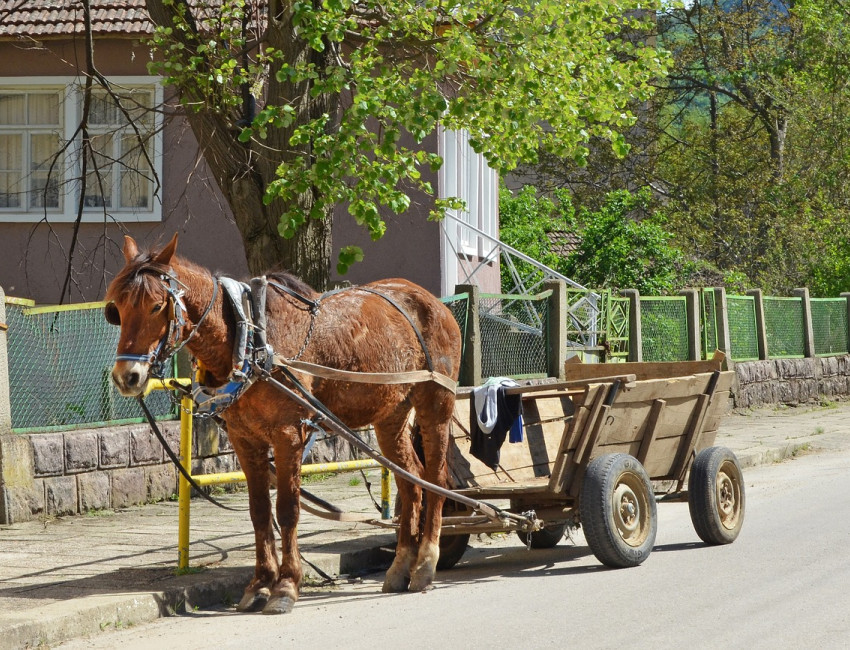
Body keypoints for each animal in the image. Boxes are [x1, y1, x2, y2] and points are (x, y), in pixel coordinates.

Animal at [107, 234, 464, 612]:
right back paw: (401, 565)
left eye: (157, 306)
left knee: (435, 478)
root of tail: (431, 301)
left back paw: (426, 562)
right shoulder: (244, 439)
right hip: (391, 415)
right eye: (117, 308)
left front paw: (286, 586)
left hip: (435, 405)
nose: (126, 377)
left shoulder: (289, 434)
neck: (248, 339)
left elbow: (288, 509)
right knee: (411, 481)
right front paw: (260, 583)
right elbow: (260, 511)